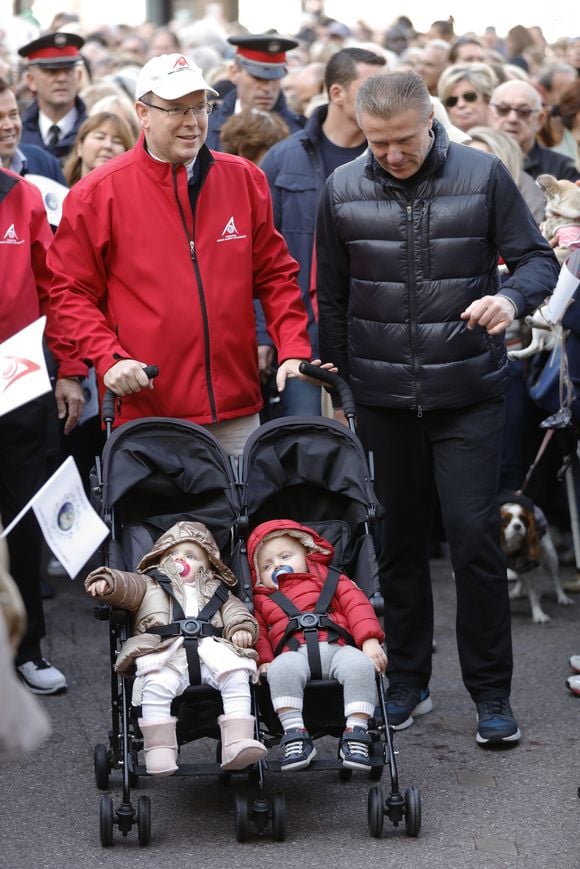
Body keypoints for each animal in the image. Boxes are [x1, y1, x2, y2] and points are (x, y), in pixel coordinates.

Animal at [496, 488, 572, 624]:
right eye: (504, 520)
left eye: (523, 520)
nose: (517, 526)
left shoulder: (529, 564)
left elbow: (533, 592)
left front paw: (538, 614)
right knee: (520, 577)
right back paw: (517, 592)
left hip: (550, 556)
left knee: (555, 579)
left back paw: (563, 597)